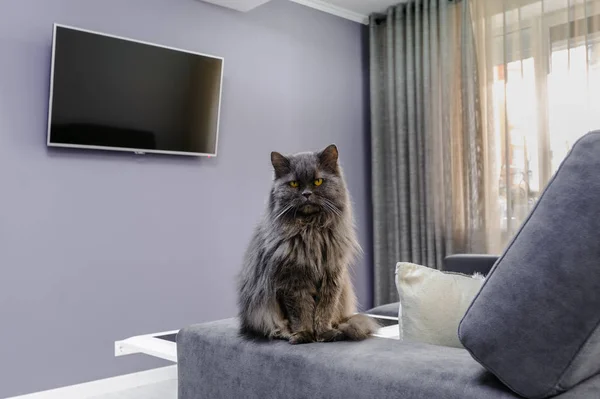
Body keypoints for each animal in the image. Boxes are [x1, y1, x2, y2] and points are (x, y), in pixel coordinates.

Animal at [237, 145, 378, 346]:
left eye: (318, 181)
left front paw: (324, 334)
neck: (311, 231)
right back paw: (285, 334)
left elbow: (324, 310)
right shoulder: (292, 281)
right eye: (294, 184)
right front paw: (304, 335)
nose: (306, 194)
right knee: (274, 326)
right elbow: (300, 312)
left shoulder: (332, 276)